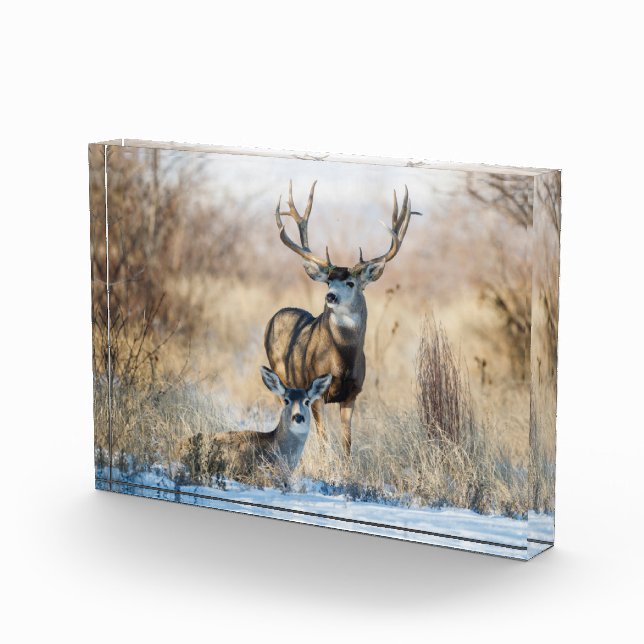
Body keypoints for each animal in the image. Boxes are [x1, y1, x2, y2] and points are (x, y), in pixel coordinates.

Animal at [264, 181, 419, 457]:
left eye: (350, 282)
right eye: (328, 281)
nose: (330, 296)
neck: (342, 360)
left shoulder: (352, 394)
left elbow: (347, 443)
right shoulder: (315, 393)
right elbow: (324, 440)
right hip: (281, 376)